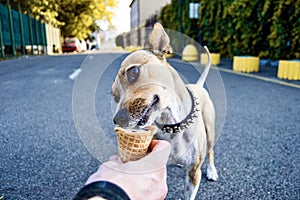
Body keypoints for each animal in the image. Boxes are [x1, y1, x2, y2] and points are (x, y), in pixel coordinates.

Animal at [112, 22, 218, 199]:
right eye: (115, 95)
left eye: (133, 71)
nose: (118, 119)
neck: (172, 124)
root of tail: (198, 85)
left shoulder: (194, 173)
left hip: (210, 131)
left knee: (211, 151)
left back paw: (212, 170)